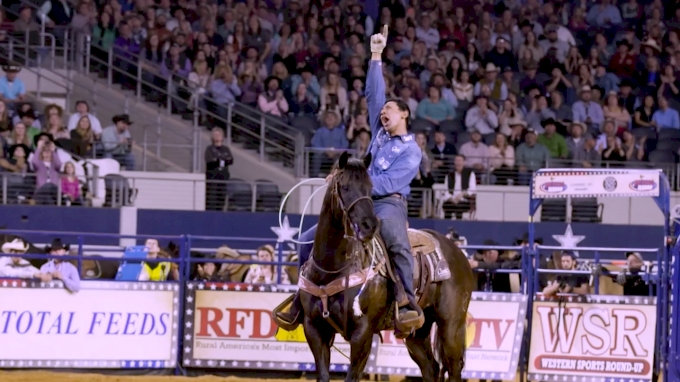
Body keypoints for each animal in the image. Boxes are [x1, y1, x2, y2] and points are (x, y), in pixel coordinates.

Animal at [298, 152, 472, 382]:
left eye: (369, 187)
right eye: (344, 186)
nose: (369, 225)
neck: (333, 268)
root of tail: (457, 251)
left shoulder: (362, 333)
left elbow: (352, 376)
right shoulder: (314, 329)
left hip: (451, 326)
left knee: (454, 369)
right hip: (418, 332)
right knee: (431, 368)